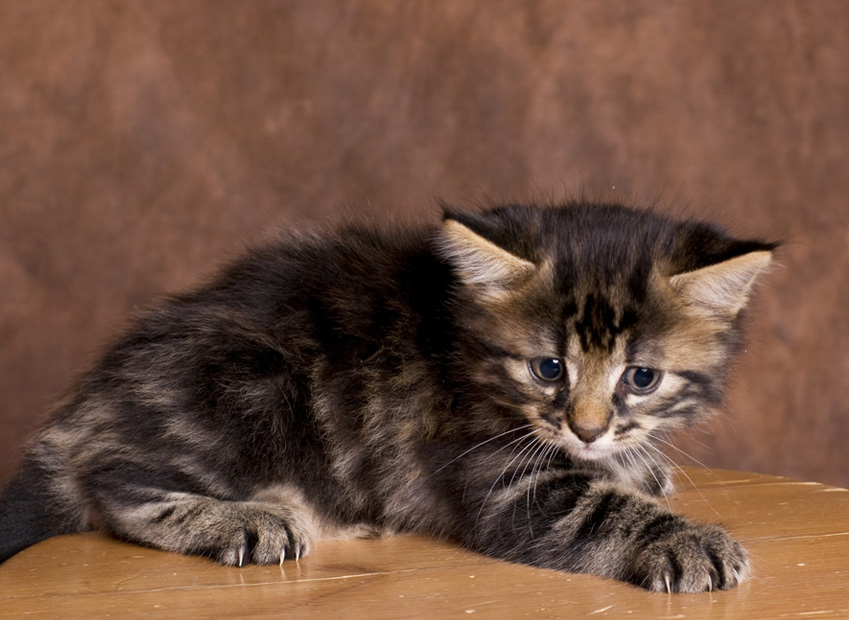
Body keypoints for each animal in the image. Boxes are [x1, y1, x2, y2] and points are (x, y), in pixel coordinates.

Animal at [0, 202, 776, 592]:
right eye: (548, 368)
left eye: (640, 377)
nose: (585, 430)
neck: (465, 342)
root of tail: (93, 402)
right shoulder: (494, 472)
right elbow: (598, 508)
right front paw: (686, 540)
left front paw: (639, 463)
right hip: (252, 387)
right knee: (115, 480)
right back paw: (249, 518)